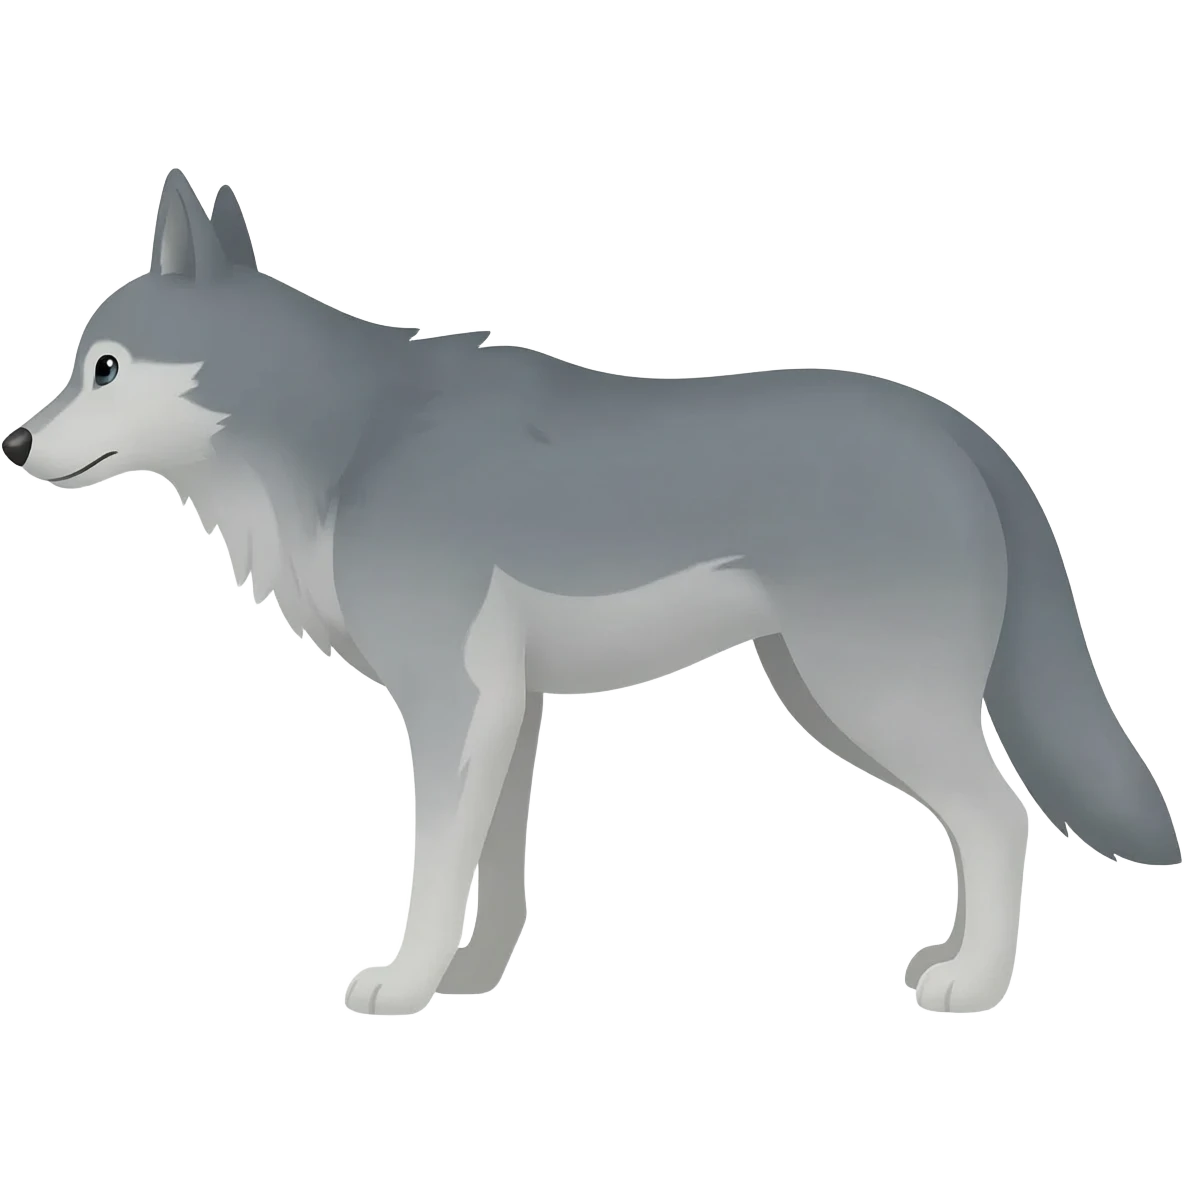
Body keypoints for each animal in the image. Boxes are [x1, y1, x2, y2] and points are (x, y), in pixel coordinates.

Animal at [5, 169, 1178, 1016]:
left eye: (103, 367)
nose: (13, 443)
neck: (344, 441)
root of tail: (960, 431)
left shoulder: (453, 705)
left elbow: (434, 867)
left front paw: (402, 985)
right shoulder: (507, 709)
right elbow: (495, 869)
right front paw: (471, 980)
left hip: (873, 700)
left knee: (999, 819)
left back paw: (974, 987)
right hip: (832, 701)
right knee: (976, 826)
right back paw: (950, 957)